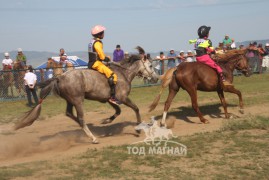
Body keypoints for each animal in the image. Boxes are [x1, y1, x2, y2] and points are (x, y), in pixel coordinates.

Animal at [13, 46, 158, 143]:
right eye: (151, 65)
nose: (156, 78)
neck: (123, 74)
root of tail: (59, 78)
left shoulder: (110, 99)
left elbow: (118, 111)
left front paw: (106, 120)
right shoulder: (122, 98)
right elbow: (136, 109)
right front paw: (138, 129)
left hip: (70, 101)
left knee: (70, 114)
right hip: (78, 101)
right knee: (81, 118)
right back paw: (93, 137)